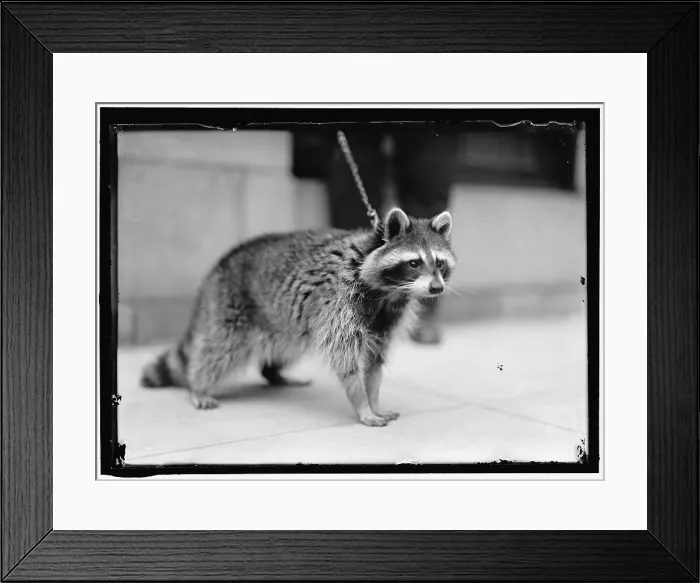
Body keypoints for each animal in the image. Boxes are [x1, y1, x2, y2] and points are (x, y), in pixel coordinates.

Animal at [141, 207, 456, 427]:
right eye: (413, 263)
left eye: (439, 263)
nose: (436, 288)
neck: (389, 291)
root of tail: (219, 266)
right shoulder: (339, 302)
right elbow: (347, 362)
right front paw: (362, 403)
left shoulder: (387, 318)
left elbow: (375, 361)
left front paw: (373, 399)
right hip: (230, 306)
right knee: (219, 349)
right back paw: (199, 384)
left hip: (285, 326)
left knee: (287, 347)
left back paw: (273, 373)